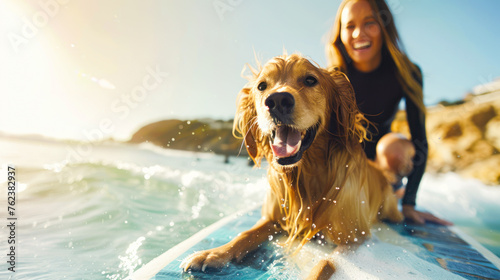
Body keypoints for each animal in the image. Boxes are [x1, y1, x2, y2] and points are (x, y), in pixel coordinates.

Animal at [180, 53, 402, 278]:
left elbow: (326, 263)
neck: (308, 174)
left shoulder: (353, 237)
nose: (277, 101)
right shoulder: (273, 217)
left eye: (311, 80)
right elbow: (245, 234)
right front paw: (212, 254)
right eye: (262, 86)